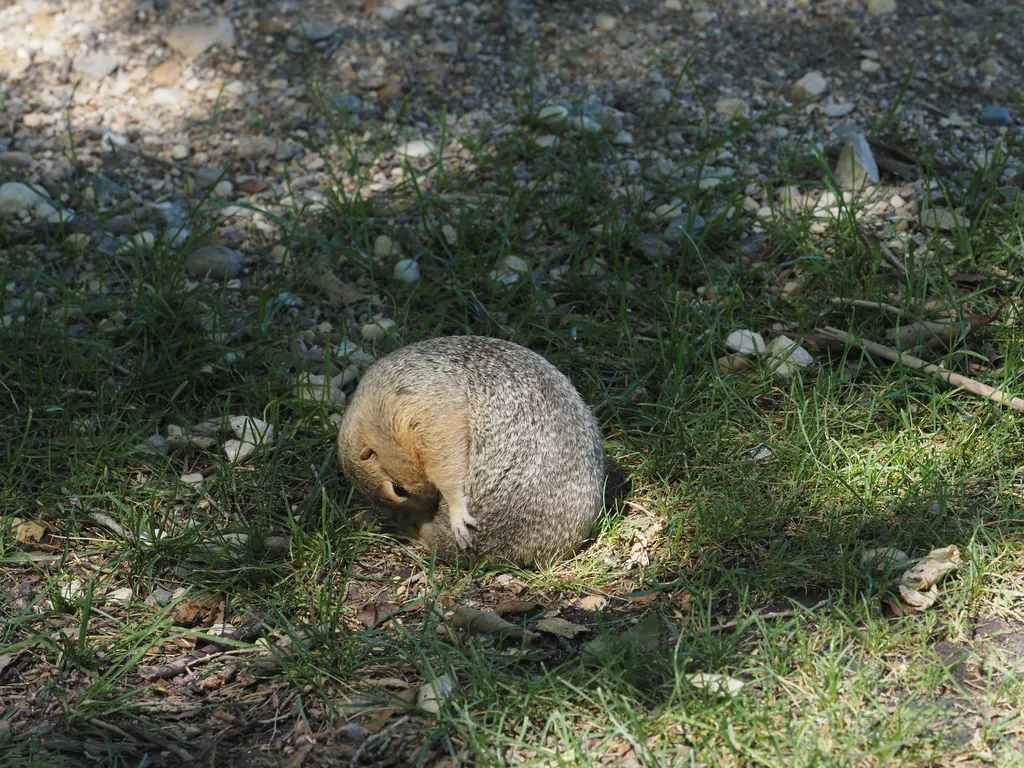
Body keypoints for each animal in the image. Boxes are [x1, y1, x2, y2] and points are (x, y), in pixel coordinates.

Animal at [337, 335, 622, 565]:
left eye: (398, 489)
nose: (421, 514)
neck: (378, 409)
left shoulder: (432, 415)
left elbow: (447, 467)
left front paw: (456, 508)